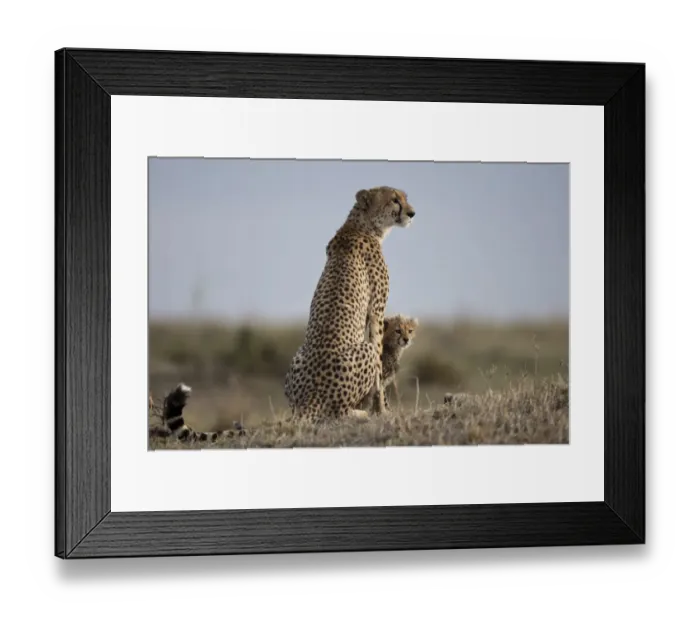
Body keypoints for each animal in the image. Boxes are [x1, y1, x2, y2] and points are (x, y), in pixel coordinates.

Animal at [284, 186, 416, 423]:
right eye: (394, 200)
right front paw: (381, 410)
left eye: (404, 198)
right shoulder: (377, 310)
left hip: (297, 358)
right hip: (364, 353)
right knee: (338, 413)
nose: (412, 213)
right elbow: (379, 363)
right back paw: (360, 413)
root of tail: (310, 397)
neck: (362, 225)